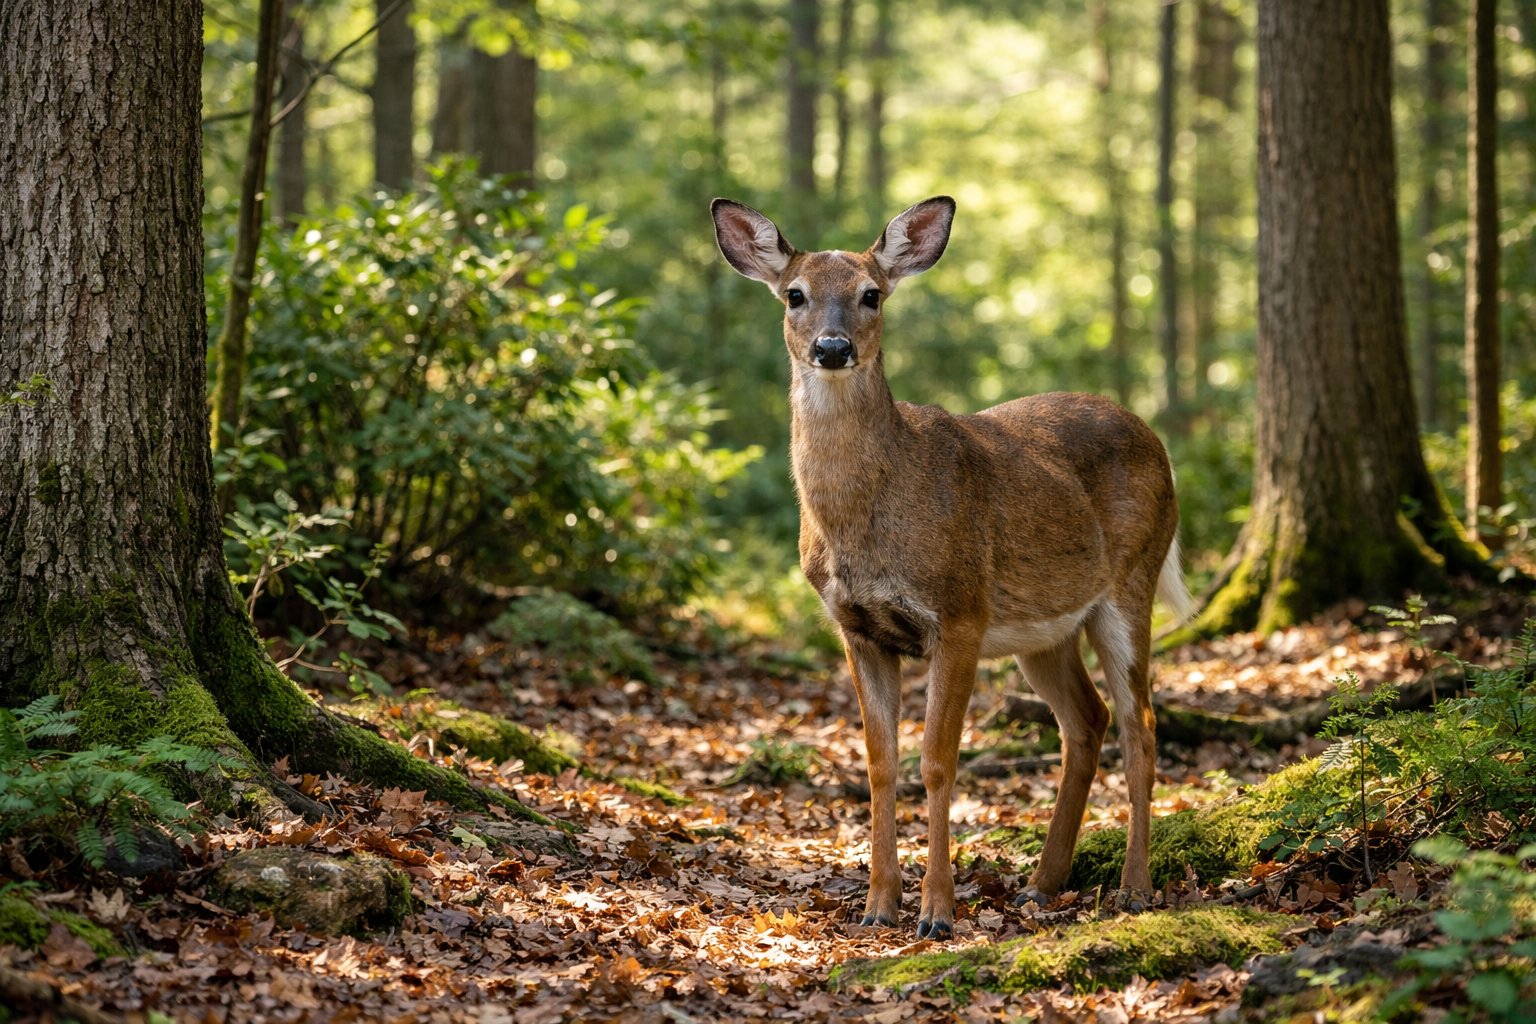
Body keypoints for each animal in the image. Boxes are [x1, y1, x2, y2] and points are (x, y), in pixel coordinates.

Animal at [710, 195, 1191, 940]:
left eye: (871, 294)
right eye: (795, 294)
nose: (832, 348)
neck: (866, 521)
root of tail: (1154, 439)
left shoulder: (959, 613)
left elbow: (938, 761)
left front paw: (937, 913)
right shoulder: (858, 628)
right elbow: (881, 763)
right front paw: (878, 905)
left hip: (1131, 580)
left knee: (1141, 725)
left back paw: (1133, 888)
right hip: (1043, 629)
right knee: (1088, 721)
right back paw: (1042, 884)